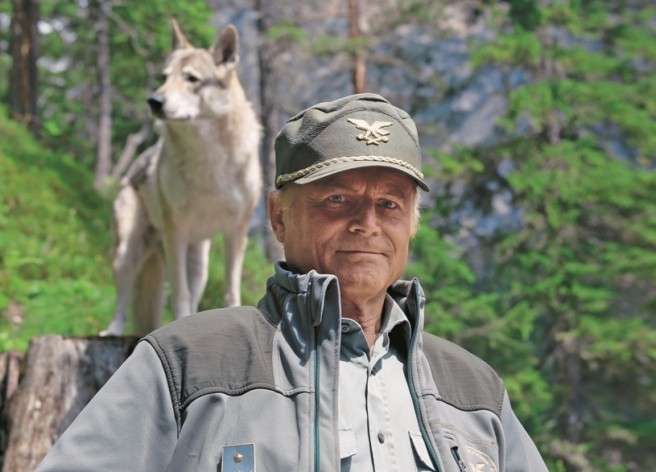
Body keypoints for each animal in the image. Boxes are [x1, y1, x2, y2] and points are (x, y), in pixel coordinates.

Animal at [101, 19, 260, 336]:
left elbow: (231, 291)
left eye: (191, 78)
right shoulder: (176, 232)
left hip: (198, 261)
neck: (209, 158)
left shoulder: (237, 232)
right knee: (124, 296)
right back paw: (113, 330)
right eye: (164, 77)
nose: (154, 101)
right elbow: (180, 295)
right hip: (129, 252)